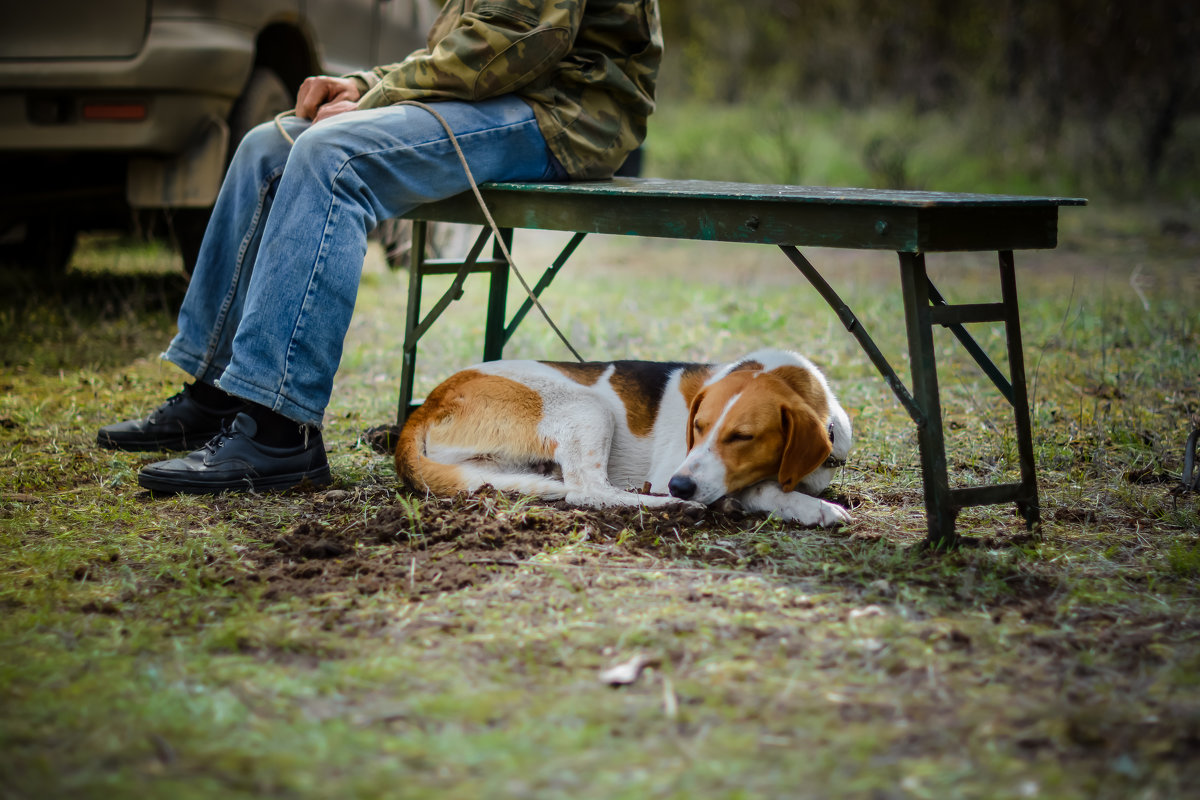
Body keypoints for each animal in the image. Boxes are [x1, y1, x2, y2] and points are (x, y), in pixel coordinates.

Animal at [398, 347, 849, 525]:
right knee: (587, 491)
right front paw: (815, 508)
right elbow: (760, 487)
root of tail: (429, 402)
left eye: (742, 436)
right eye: (698, 427)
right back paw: (670, 507)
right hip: (588, 408)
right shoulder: (675, 468)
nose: (679, 486)